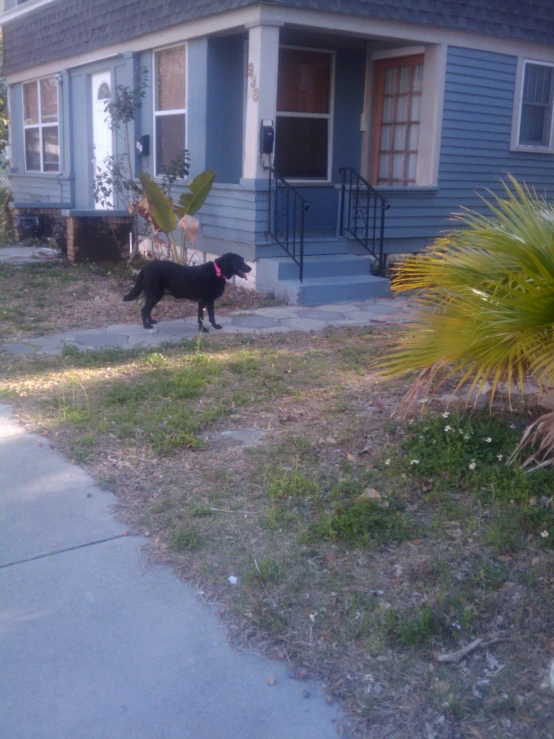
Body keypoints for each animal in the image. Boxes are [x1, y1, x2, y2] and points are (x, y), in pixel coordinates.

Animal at [122, 256, 250, 334]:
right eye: (240, 261)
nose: (250, 268)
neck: (218, 271)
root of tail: (146, 267)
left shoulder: (210, 301)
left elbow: (212, 316)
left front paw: (215, 326)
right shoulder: (202, 301)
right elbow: (201, 318)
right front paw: (202, 330)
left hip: (156, 295)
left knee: (148, 310)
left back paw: (150, 322)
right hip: (154, 295)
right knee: (144, 310)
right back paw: (146, 326)